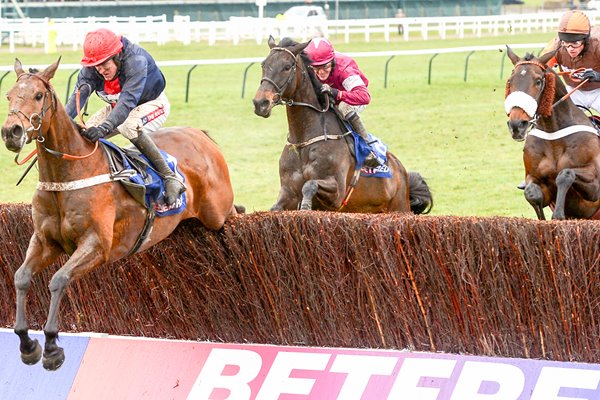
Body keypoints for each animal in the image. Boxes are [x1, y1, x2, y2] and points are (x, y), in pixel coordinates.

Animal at [0, 60, 239, 372]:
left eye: (38, 95)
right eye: (8, 95)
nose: (12, 132)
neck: (66, 175)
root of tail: (199, 135)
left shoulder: (97, 245)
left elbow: (58, 280)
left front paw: (51, 347)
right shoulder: (44, 241)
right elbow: (21, 277)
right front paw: (27, 345)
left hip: (218, 213)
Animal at [252, 36, 432, 214]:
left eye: (287, 67)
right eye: (263, 65)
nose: (260, 103)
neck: (303, 140)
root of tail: (401, 170)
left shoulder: (337, 192)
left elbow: (309, 185)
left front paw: (305, 207)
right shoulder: (288, 191)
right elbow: (276, 207)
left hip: (399, 207)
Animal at [504, 48, 600, 220]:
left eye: (538, 81)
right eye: (510, 81)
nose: (516, 125)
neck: (553, 134)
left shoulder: (595, 186)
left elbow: (565, 173)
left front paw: (559, 214)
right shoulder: (535, 179)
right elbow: (531, 192)